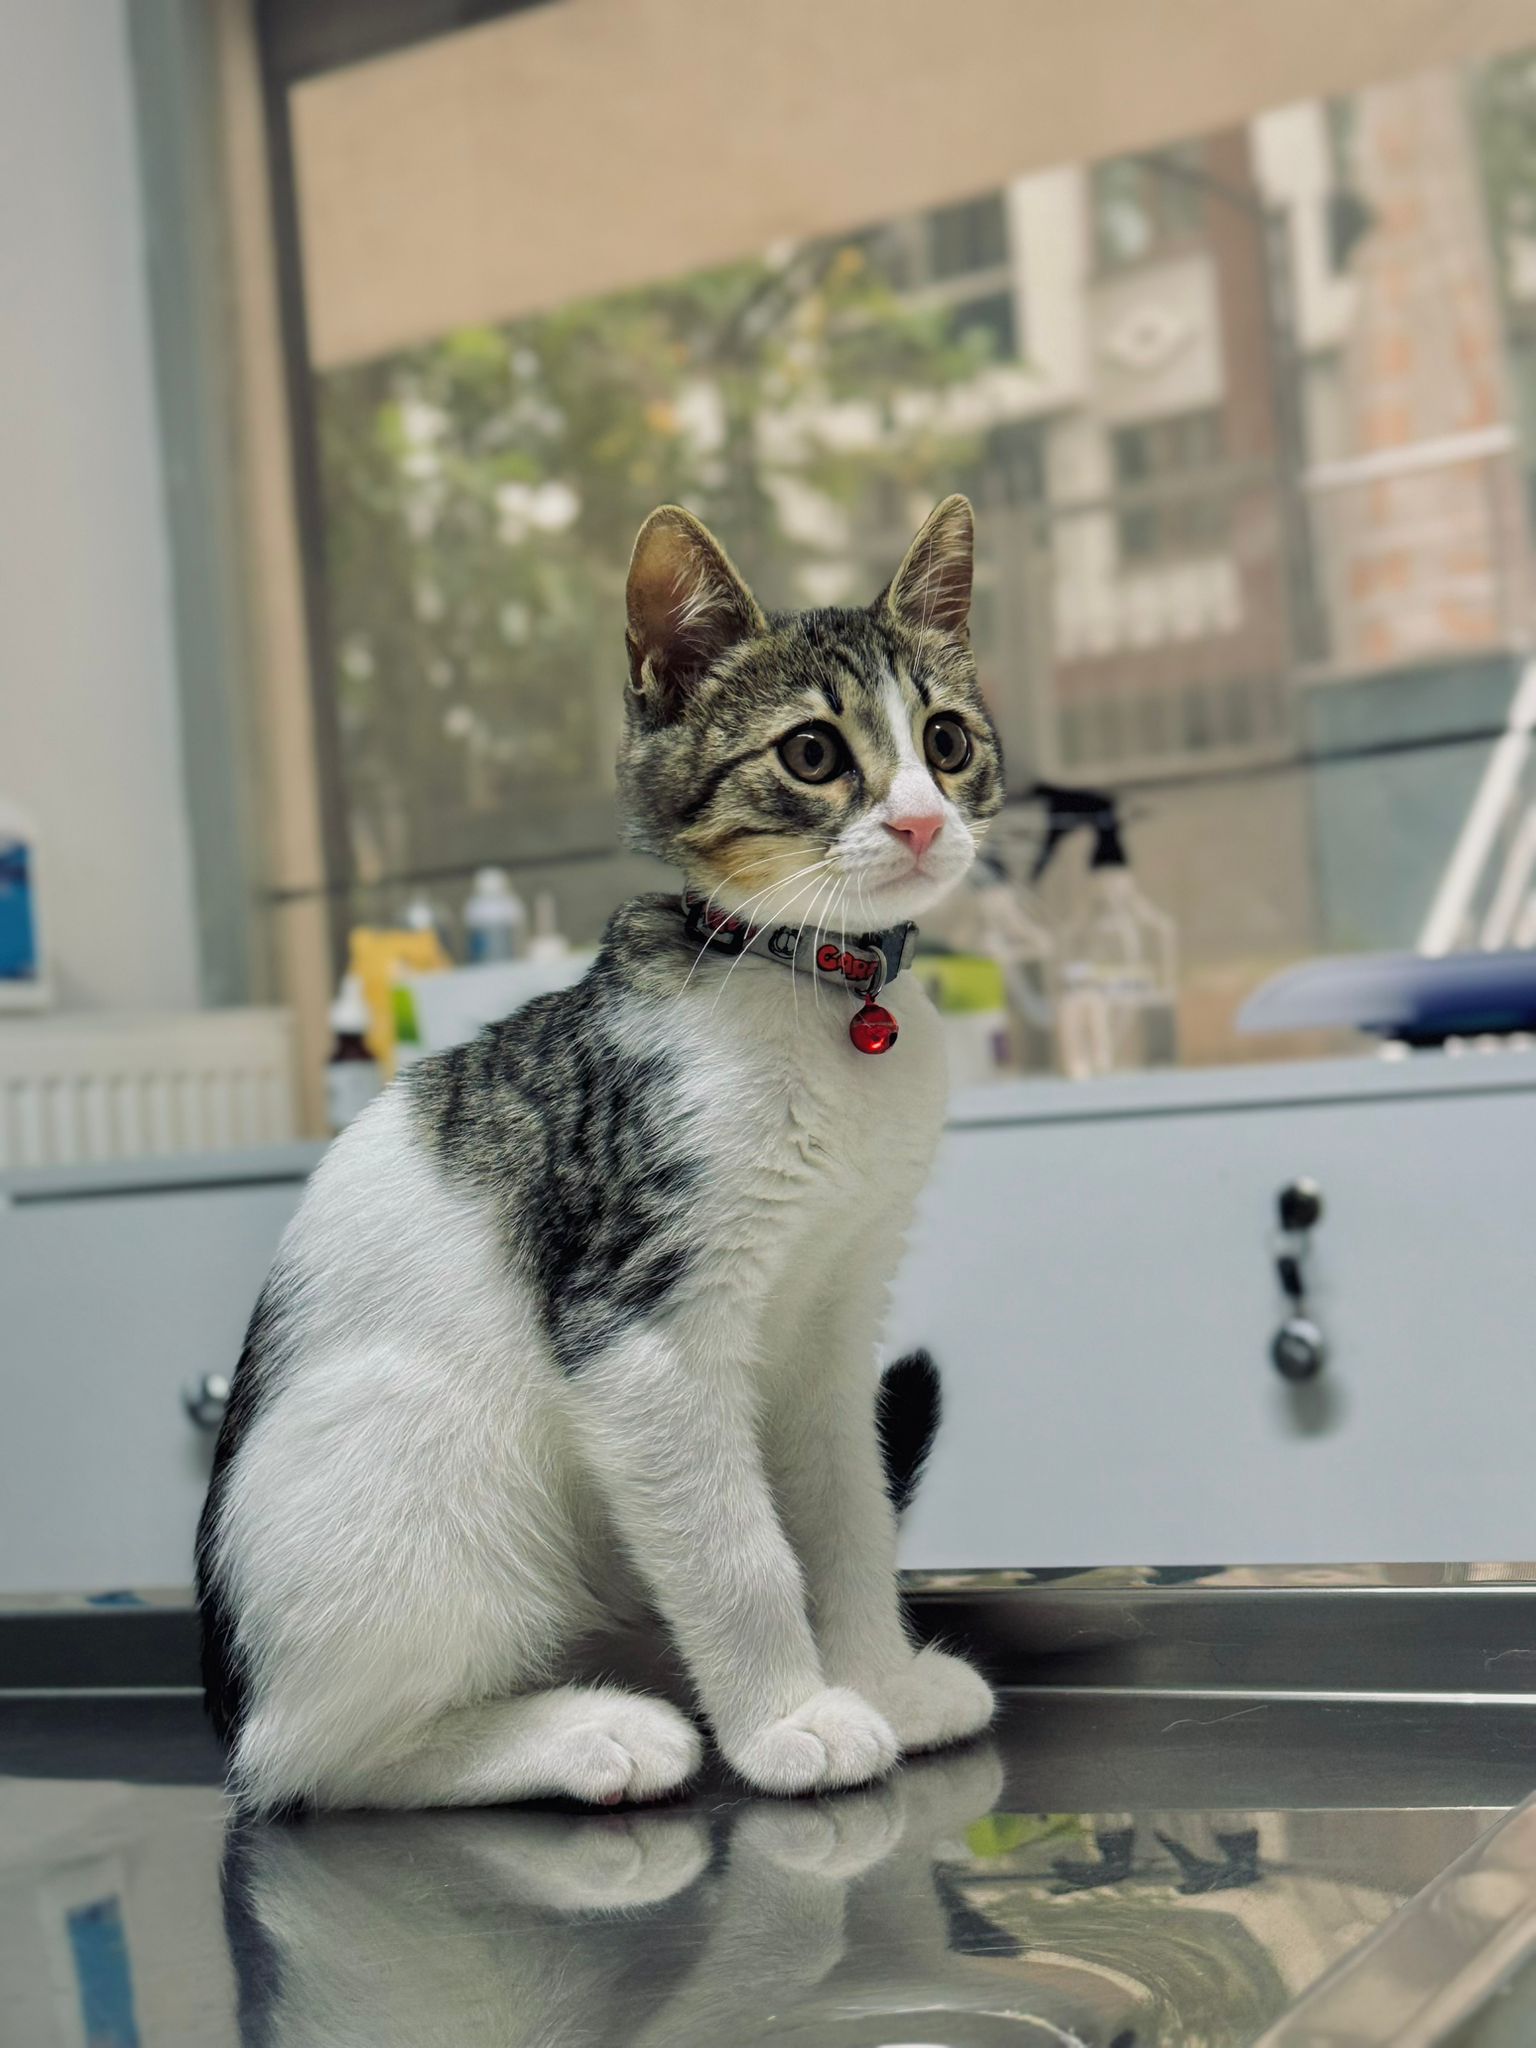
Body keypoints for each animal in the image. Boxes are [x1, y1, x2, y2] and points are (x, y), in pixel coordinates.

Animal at [197, 493, 1003, 1813]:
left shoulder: (839, 1306)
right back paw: (586, 1734)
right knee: (319, 1756)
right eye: (813, 754)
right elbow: (737, 1551)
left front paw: (877, 1679)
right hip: (418, 1464)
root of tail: (233, 1686)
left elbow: (849, 1508)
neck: (811, 992)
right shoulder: (637, 1321)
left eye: (946, 739)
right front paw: (791, 1722)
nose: (925, 819)